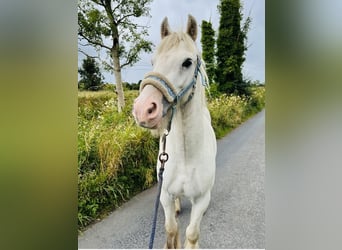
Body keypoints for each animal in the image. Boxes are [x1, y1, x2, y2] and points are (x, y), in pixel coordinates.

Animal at [134, 15, 216, 248]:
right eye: (153, 61)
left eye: (187, 62)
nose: (143, 109)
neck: (187, 157)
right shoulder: (164, 196)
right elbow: (171, 229)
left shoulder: (202, 199)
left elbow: (192, 233)